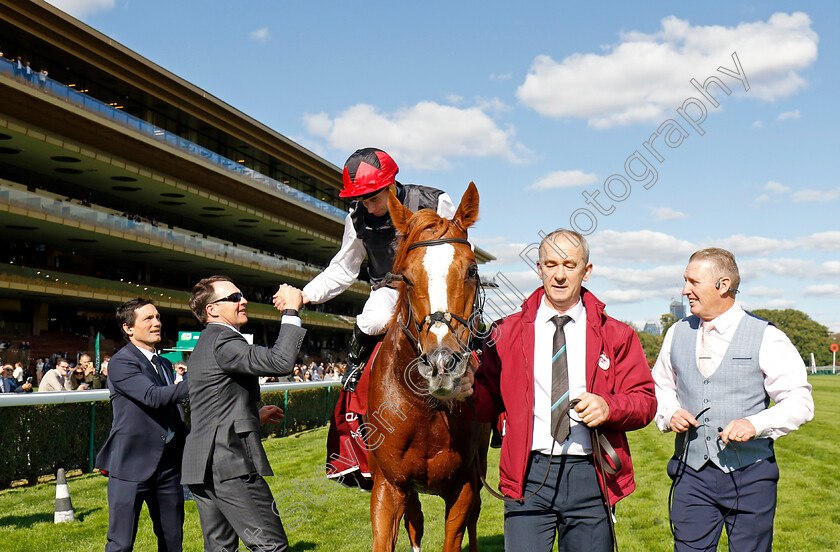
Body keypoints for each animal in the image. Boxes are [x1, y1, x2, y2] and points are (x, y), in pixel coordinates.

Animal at [368, 182, 486, 552]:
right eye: (406, 277)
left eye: (472, 270)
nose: (441, 364)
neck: (424, 409)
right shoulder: (388, 485)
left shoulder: (463, 486)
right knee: (415, 521)